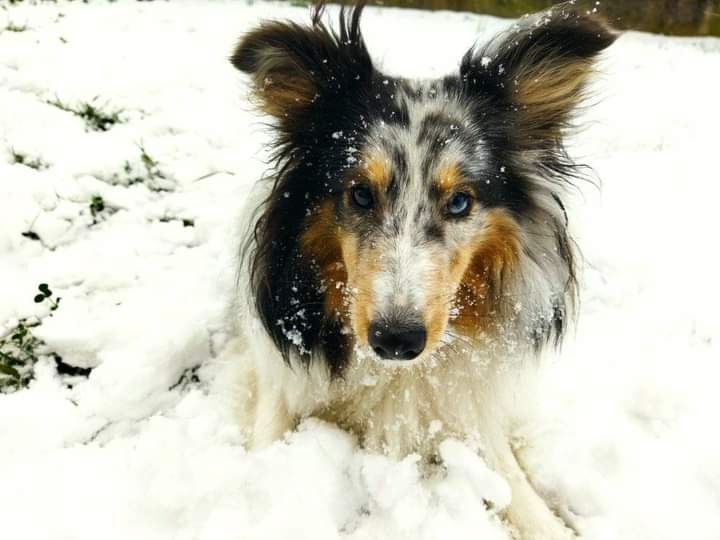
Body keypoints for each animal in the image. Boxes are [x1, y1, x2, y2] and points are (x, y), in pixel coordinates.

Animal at [228, 3, 616, 536]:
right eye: (360, 193)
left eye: (459, 202)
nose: (396, 340)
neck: (395, 373)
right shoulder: (279, 385)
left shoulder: (467, 411)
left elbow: (514, 486)